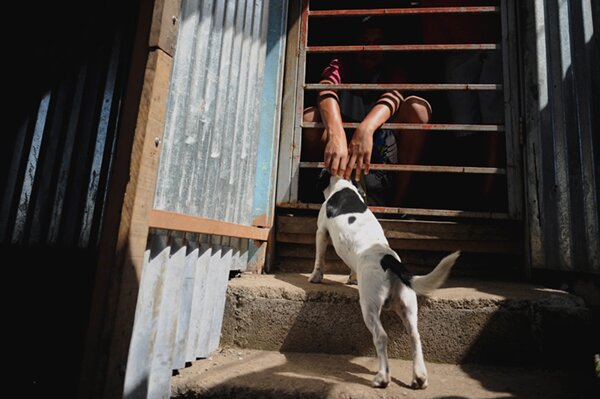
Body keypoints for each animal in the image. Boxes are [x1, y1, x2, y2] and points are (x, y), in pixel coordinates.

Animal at [310, 172, 460, 390]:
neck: (342, 185)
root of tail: (388, 259)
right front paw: (352, 278)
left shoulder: (321, 231)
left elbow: (319, 259)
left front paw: (315, 277)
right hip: (407, 305)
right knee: (415, 336)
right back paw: (419, 377)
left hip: (369, 305)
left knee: (380, 337)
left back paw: (382, 378)